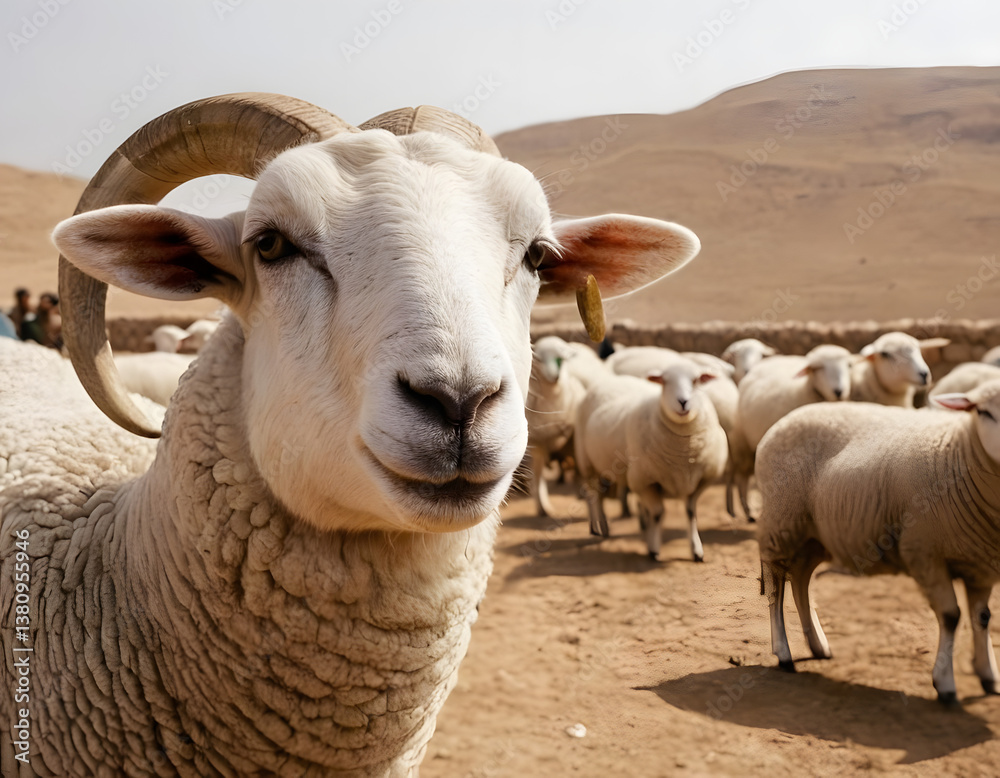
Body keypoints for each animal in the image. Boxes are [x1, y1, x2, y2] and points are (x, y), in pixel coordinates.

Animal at [526, 336, 589, 517]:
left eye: (561, 359)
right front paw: (542, 506)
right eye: (540, 359)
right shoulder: (537, 444)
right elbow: (538, 477)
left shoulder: (572, 435)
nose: (555, 376)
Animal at [575, 358, 728, 561]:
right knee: (592, 495)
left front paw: (696, 550)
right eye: (664, 381)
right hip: (585, 461)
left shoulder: (701, 481)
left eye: (696, 380)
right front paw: (654, 549)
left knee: (599, 494)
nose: (683, 402)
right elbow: (658, 513)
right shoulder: (644, 481)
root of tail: (612, 379)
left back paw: (607, 528)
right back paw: (597, 528)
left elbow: (690, 513)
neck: (684, 452)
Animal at [755, 382, 1000, 703]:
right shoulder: (924, 553)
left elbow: (982, 617)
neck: (956, 450)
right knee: (775, 586)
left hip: (813, 536)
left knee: (800, 581)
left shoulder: (980, 564)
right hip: (780, 523)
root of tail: (780, 423)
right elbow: (950, 616)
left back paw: (818, 646)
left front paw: (988, 676)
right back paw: (783, 653)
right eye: (984, 412)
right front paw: (945, 684)